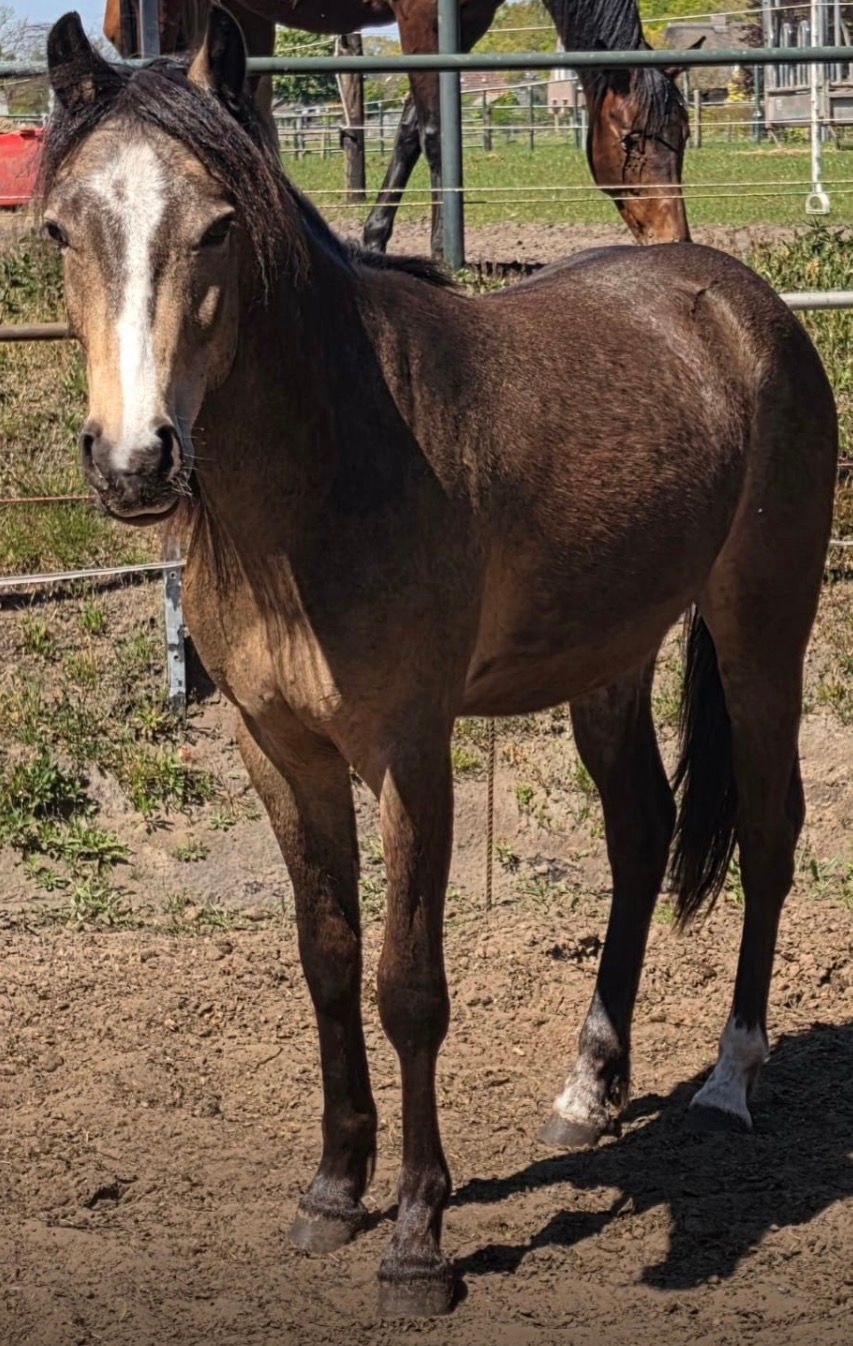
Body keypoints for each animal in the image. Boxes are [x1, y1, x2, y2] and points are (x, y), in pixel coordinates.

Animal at [102, 0, 698, 254]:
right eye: (630, 139)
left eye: (684, 137)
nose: (675, 237)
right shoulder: (422, 15)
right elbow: (437, 133)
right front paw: (440, 246)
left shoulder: (463, 21)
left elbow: (412, 129)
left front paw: (373, 237)